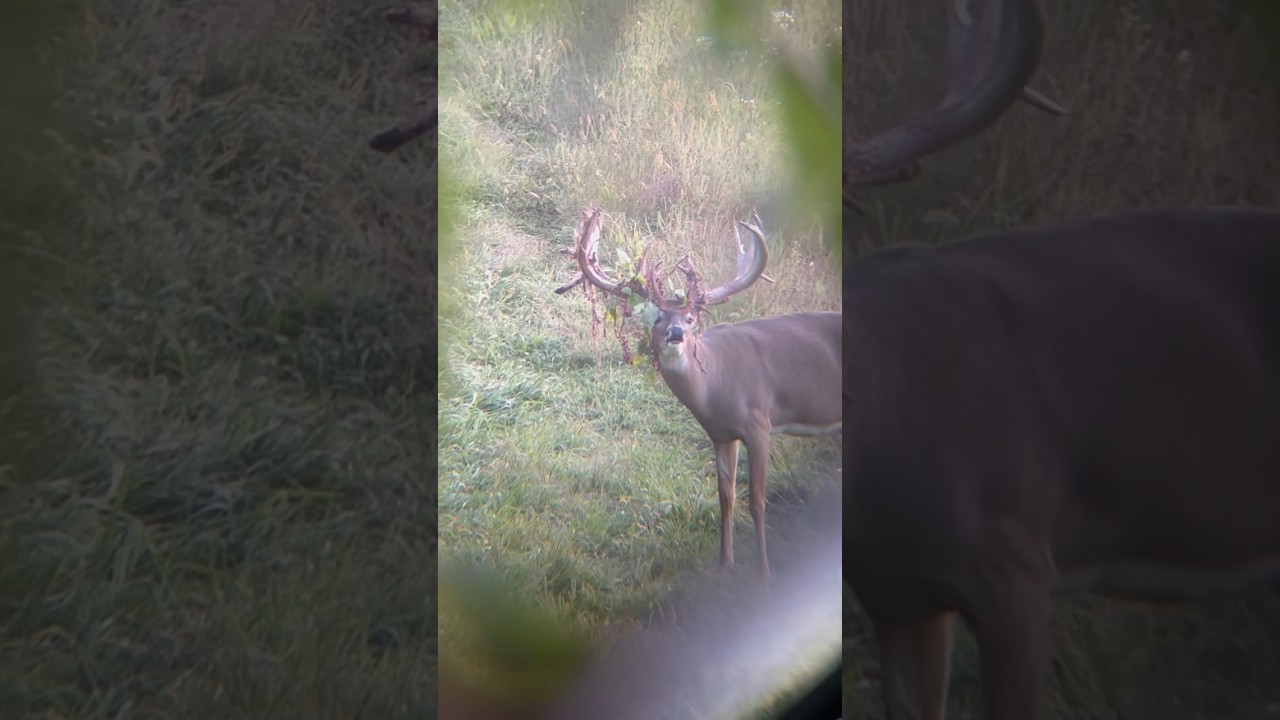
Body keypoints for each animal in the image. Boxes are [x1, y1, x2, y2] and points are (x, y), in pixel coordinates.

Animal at [567, 208, 841, 583]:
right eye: (657, 316)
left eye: (691, 317)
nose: (676, 333)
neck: (716, 385)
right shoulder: (721, 434)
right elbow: (725, 496)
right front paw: (725, 563)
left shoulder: (759, 423)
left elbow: (757, 501)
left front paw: (764, 572)